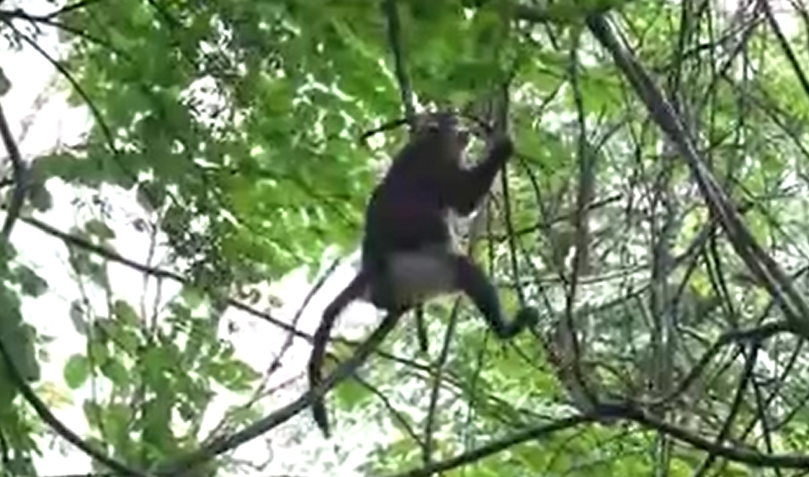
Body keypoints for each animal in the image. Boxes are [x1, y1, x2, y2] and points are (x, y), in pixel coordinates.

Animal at [308, 111, 539, 437]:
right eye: (452, 124)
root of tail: (372, 274)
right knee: (463, 270)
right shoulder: (435, 169)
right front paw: (502, 145)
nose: (465, 131)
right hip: (415, 273)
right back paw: (505, 329)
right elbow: (464, 201)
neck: (427, 144)